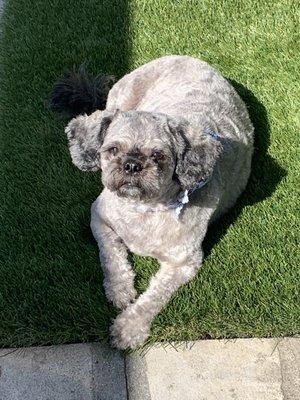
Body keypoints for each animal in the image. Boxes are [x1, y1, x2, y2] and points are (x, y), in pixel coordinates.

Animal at [51, 54, 253, 348]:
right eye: (113, 149)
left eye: (158, 155)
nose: (132, 165)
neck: (144, 209)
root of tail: (185, 56)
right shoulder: (99, 217)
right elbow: (111, 256)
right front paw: (120, 290)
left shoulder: (185, 262)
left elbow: (153, 298)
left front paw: (128, 327)